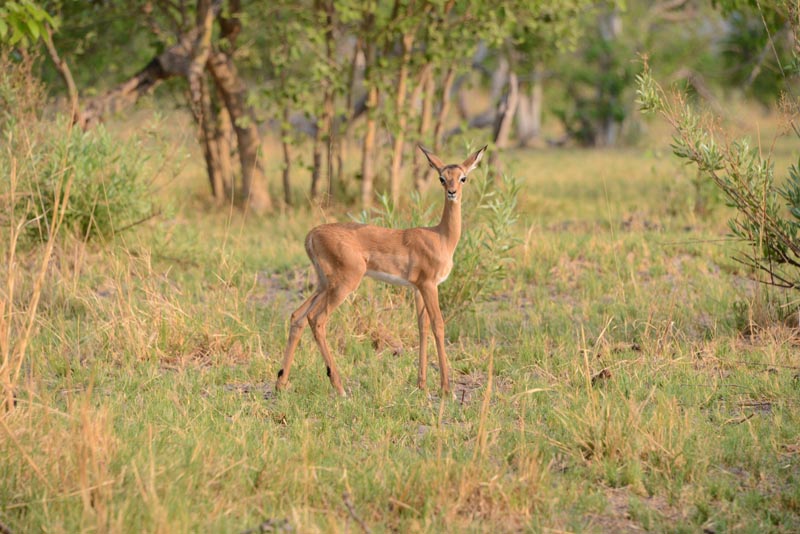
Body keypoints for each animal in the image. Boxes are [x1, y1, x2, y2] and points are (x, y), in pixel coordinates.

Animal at [276, 144, 487, 396]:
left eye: (463, 178)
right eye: (442, 178)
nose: (452, 192)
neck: (441, 237)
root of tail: (311, 234)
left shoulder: (417, 289)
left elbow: (422, 327)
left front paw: (422, 385)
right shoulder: (429, 285)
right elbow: (438, 325)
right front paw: (447, 389)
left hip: (323, 284)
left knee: (297, 316)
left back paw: (281, 383)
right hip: (344, 284)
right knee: (316, 319)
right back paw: (340, 388)